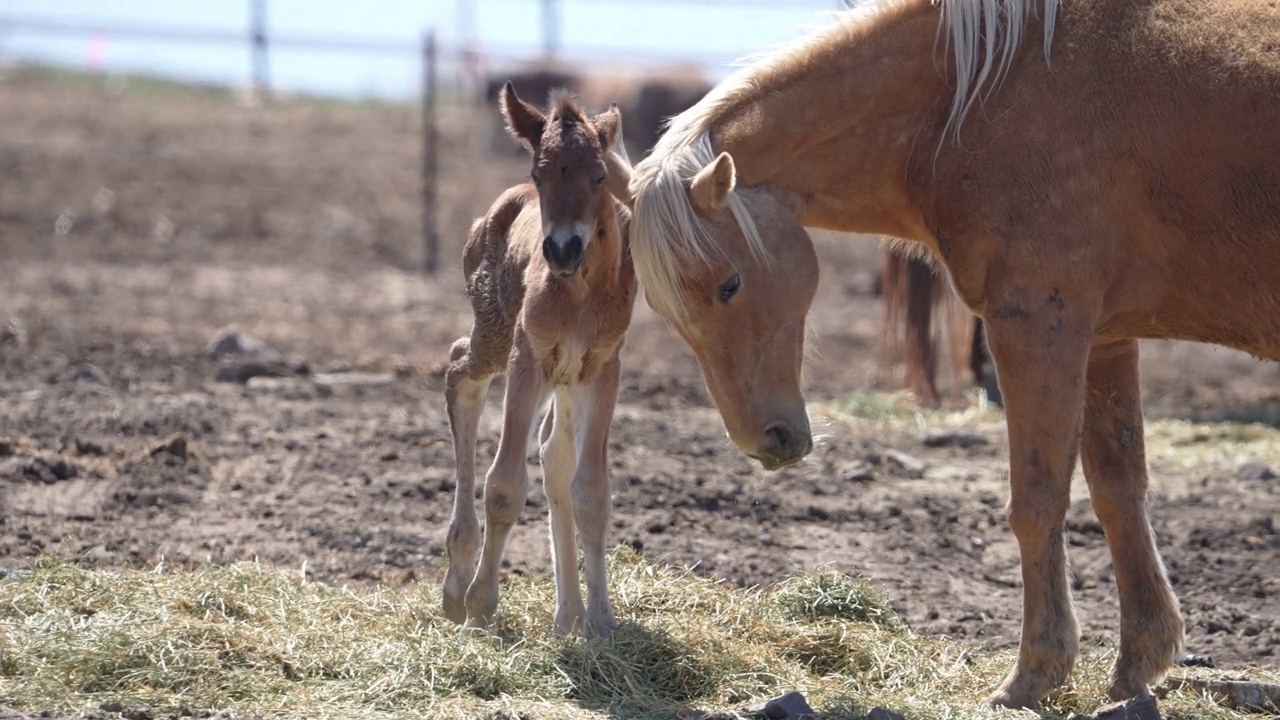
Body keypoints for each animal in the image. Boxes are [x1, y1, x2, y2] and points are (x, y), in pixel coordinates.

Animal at [442, 82, 637, 632]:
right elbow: (505, 484)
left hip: (565, 376)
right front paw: (480, 604)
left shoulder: (602, 367)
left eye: (599, 175)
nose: (562, 249)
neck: (579, 292)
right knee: (459, 371)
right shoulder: (527, 356)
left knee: (555, 457)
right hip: (494, 333)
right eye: (539, 173)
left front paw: (600, 621)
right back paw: (457, 576)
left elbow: (590, 489)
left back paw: (568, 613)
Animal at [624, 0, 1280, 707]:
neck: (972, 101)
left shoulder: (1037, 323)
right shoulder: (1104, 337)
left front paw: (1033, 676)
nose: (767, 441)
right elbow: (1118, 491)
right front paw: (1137, 668)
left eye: (729, 284)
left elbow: (1038, 500)